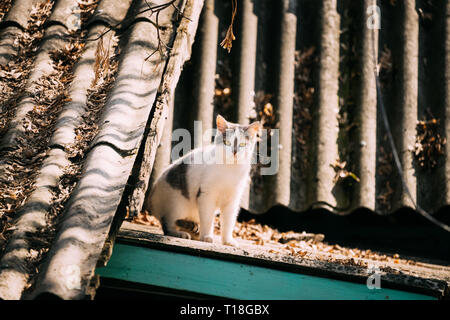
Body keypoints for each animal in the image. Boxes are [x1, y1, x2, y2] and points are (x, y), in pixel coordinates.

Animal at [144, 115, 260, 248]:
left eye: (242, 144)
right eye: (227, 143)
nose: (235, 152)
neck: (230, 169)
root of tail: (151, 200)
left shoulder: (232, 200)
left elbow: (228, 222)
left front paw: (227, 241)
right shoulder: (206, 195)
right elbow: (207, 218)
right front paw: (206, 237)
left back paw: (193, 233)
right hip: (176, 205)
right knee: (167, 224)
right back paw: (180, 234)